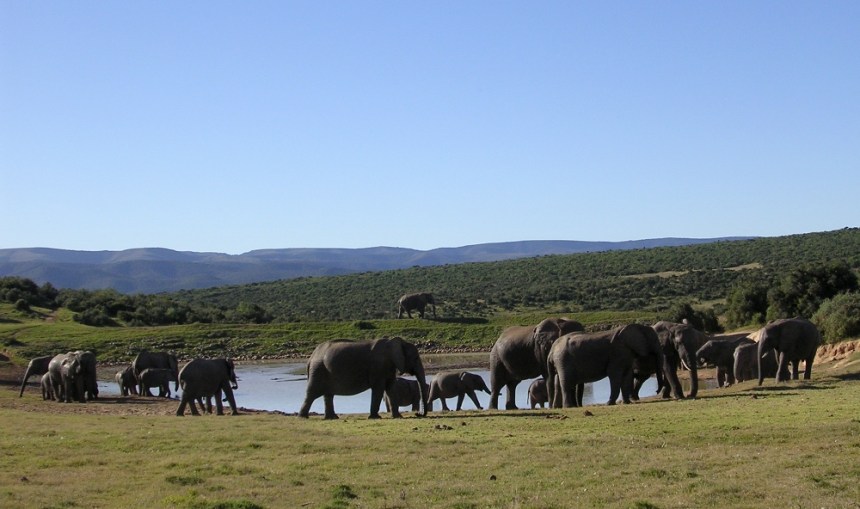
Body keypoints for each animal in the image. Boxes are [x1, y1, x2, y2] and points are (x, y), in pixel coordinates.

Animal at [299, 337, 428, 420]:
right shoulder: (378, 367)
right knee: (312, 393)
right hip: (318, 369)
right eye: (416, 358)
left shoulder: (389, 367)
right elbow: (378, 389)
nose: (418, 414)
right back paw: (303, 417)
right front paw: (375, 417)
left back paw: (332, 418)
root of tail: (310, 358)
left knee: (328, 395)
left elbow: (391, 388)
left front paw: (398, 417)